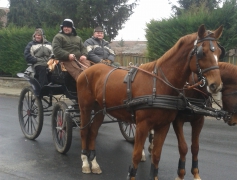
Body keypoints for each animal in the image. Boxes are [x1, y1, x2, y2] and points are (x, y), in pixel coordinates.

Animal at [77, 25, 223, 180]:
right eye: (202, 52)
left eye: (219, 52)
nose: (216, 85)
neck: (159, 83)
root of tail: (88, 69)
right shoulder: (143, 125)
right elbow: (135, 156)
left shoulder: (164, 125)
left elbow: (156, 155)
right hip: (85, 108)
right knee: (84, 131)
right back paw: (85, 162)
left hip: (100, 109)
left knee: (93, 131)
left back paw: (94, 163)